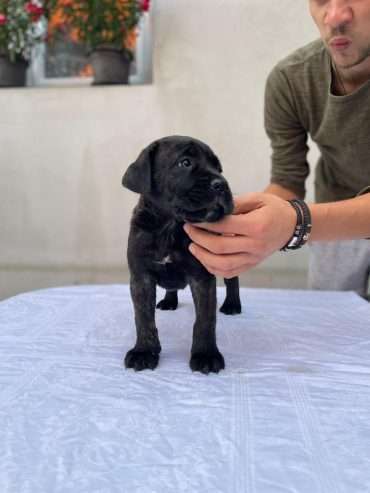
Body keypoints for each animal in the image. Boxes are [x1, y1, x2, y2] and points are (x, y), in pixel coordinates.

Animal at [123, 135, 241, 372]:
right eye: (185, 162)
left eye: (219, 168)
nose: (221, 184)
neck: (170, 226)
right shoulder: (141, 277)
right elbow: (143, 317)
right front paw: (144, 351)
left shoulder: (202, 277)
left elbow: (205, 320)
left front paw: (205, 355)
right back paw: (169, 301)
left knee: (232, 280)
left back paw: (232, 304)